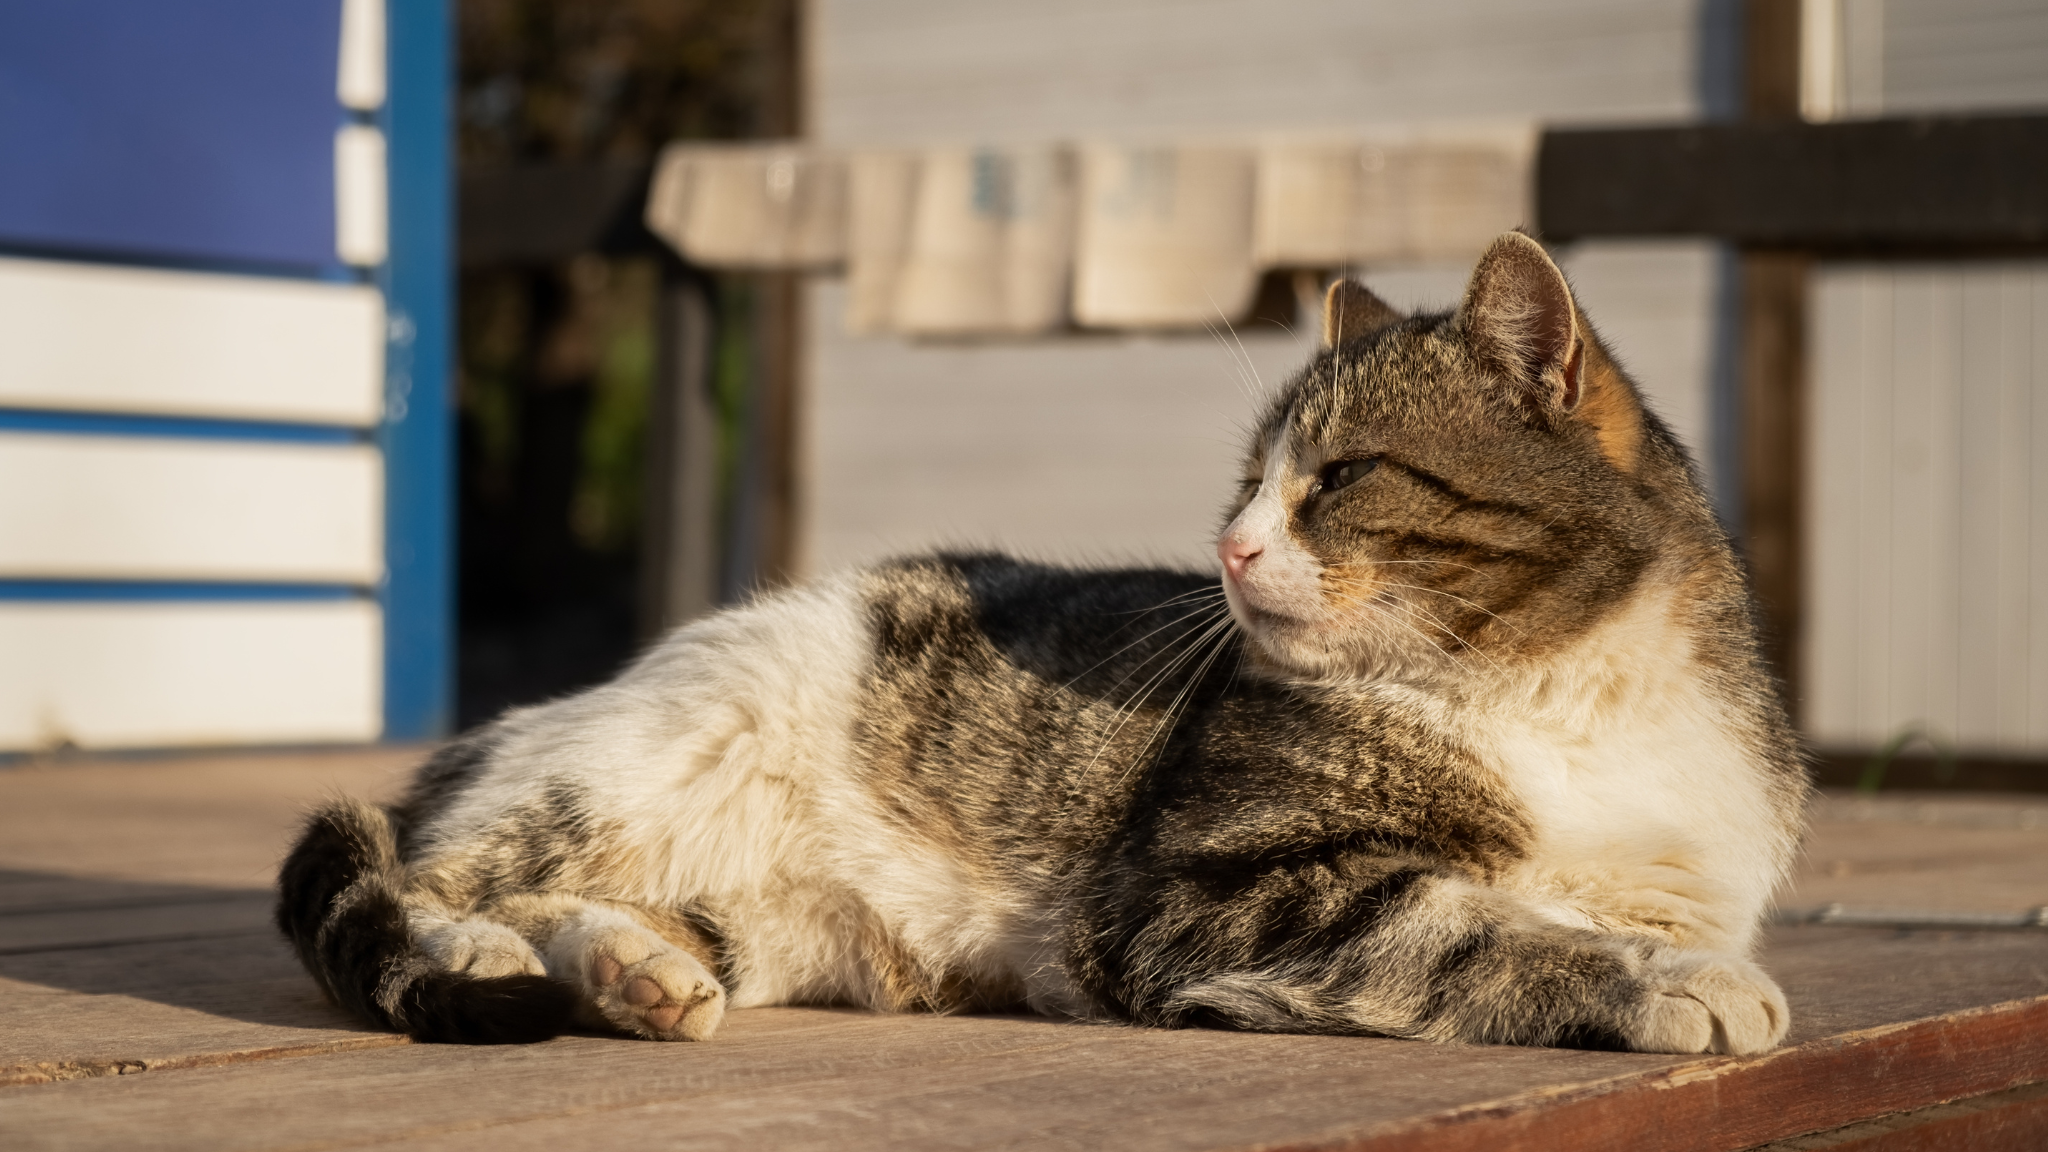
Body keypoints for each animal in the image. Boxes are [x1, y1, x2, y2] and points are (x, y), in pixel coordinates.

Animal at [276, 230, 1810, 1049]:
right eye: (1247, 480)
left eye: (1336, 478)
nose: (1229, 548)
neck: (1560, 694)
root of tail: (502, 727)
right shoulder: (1199, 895)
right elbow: (1474, 923)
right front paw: (1672, 988)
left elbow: (1555, 915)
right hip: (632, 768)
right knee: (429, 878)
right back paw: (487, 959)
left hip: (781, 921)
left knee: (593, 911)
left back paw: (637, 979)